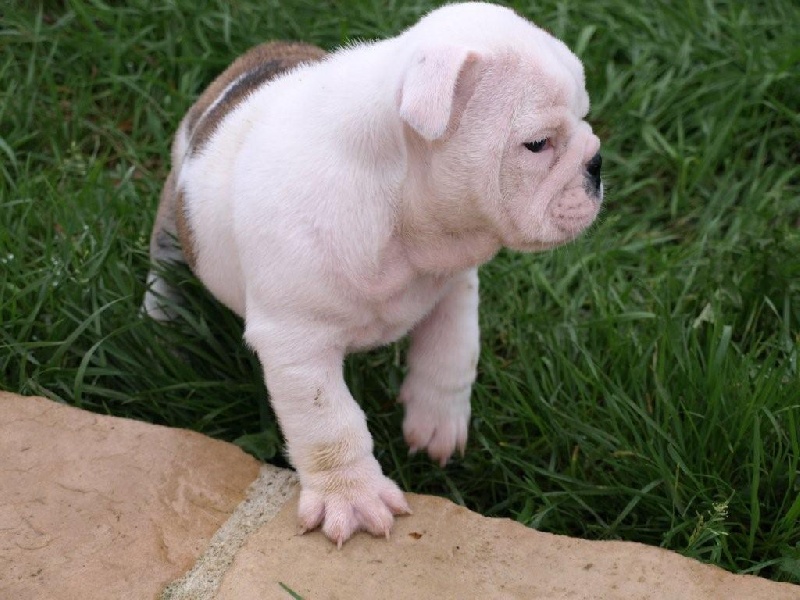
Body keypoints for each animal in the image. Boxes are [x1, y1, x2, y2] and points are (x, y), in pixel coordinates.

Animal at [143, 2, 602, 547]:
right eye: (537, 144)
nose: (597, 163)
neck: (400, 215)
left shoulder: (455, 284)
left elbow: (452, 352)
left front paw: (437, 422)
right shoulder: (295, 343)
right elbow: (329, 422)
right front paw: (352, 497)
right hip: (175, 213)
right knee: (164, 263)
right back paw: (163, 320)